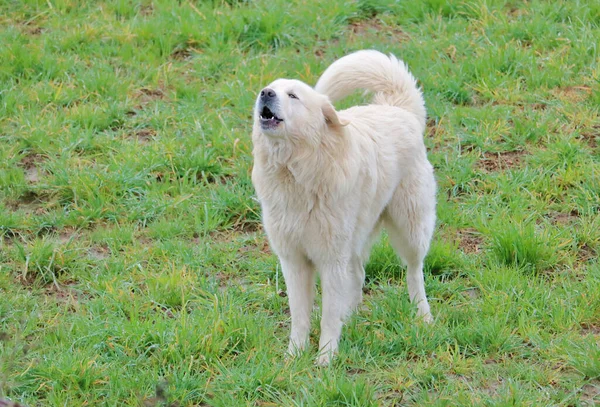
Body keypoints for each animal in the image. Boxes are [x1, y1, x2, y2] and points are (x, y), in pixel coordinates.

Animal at [250, 49, 436, 364]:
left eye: (293, 95)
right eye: (271, 88)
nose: (265, 93)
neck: (297, 173)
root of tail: (398, 108)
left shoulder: (331, 260)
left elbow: (327, 315)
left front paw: (325, 359)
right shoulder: (293, 261)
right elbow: (300, 316)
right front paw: (294, 357)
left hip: (410, 229)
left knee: (414, 272)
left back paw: (423, 318)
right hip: (355, 238)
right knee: (359, 274)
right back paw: (350, 320)